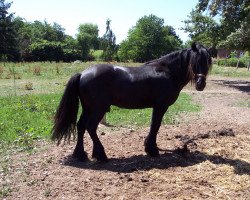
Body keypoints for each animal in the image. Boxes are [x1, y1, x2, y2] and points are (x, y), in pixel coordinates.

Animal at [51, 43, 212, 162]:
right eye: (195, 61)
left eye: (208, 62)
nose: (200, 84)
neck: (167, 72)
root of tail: (83, 74)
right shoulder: (160, 106)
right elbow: (155, 125)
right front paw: (152, 149)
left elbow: (154, 126)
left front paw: (149, 147)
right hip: (98, 109)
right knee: (90, 127)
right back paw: (101, 154)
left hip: (88, 108)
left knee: (81, 126)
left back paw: (80, 154)